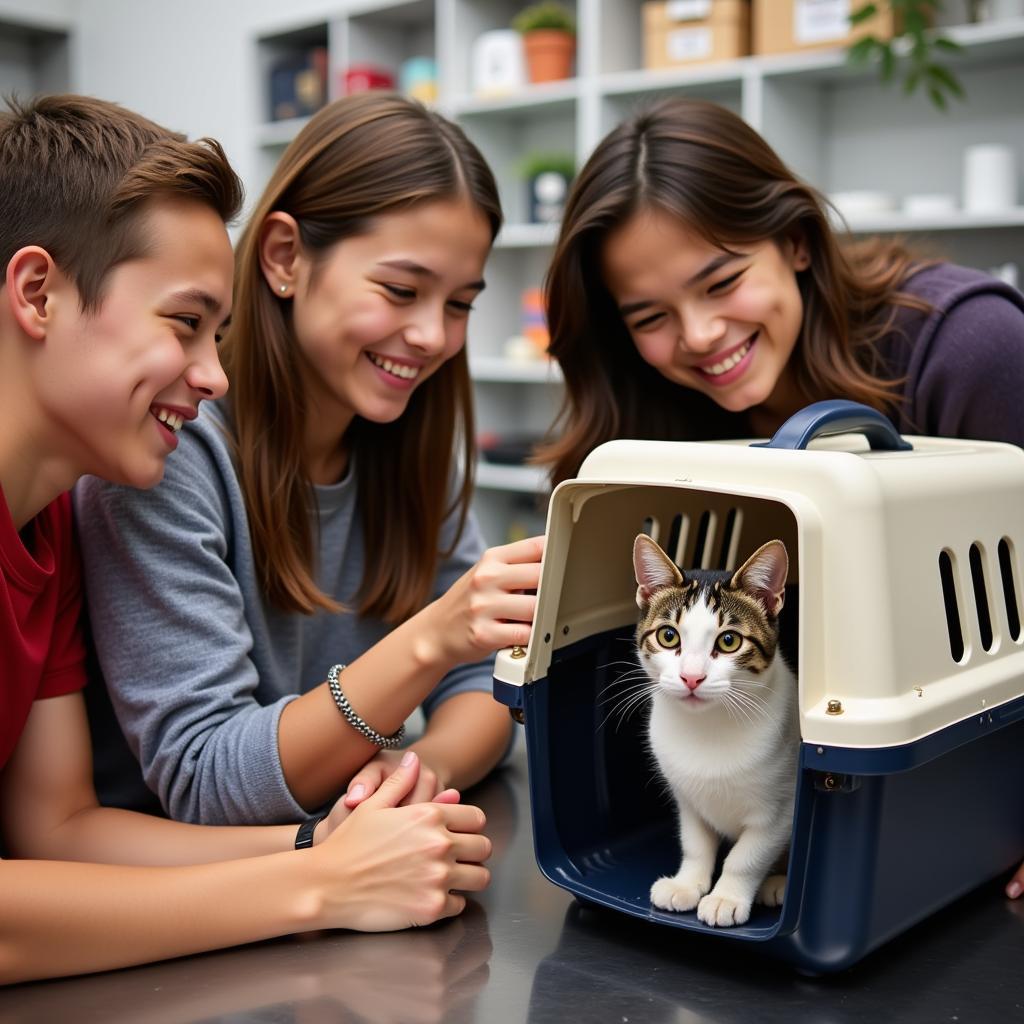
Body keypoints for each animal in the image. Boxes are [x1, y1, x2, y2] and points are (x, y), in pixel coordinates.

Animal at [630, 536, 798, 929]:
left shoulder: (781, 809)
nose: (691, 677)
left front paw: (726, 897)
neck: (709, 724)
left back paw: (780, 884)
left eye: (729, 641)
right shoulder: (687, 798)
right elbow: (695, 843)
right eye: (668, 636)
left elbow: (747, 855)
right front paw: (687, 884)